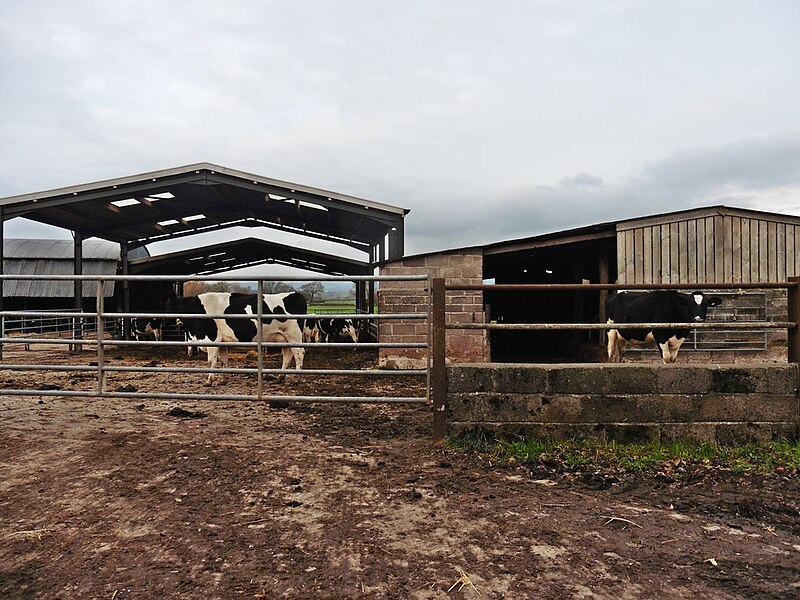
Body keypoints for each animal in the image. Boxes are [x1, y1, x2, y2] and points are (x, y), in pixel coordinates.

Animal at [166, 290, 306, 384]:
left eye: (166, 305)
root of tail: (296, 294)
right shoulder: (221, 342)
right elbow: (223, 361)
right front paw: (223, 380)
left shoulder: (212, 339)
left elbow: (211, 361)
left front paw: (209, 380)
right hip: (284, 338)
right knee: (287, 356)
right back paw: (280, 378)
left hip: (293, 335)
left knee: (299, 353)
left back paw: (296, 378)